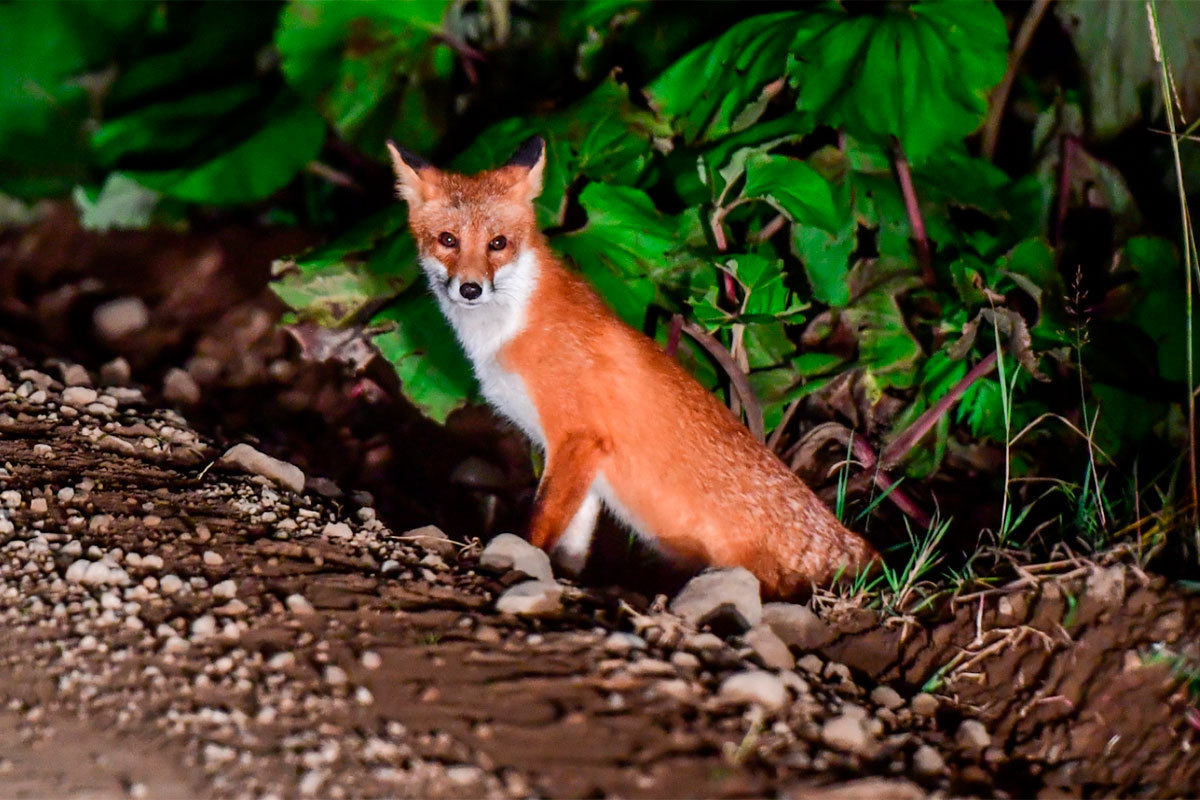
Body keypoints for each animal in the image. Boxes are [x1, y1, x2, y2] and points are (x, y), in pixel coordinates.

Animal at [388, 137, 878, 597]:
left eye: (498, 244)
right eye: (448, 240)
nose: (470, 289)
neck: (511, 330)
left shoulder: (577, 438)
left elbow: (539, 527)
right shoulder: (581, 461)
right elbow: (572, 545)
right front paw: (565, 579)